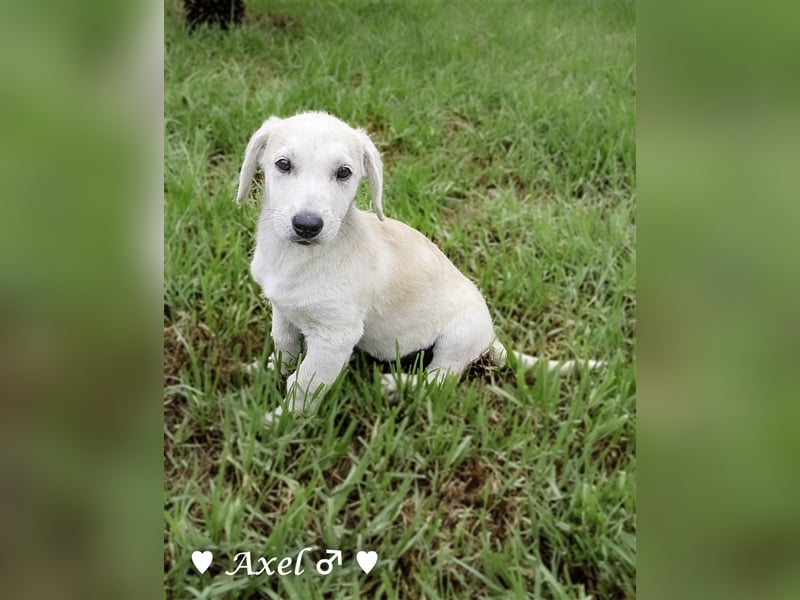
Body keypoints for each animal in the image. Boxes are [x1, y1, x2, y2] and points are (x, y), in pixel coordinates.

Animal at [234, 112, 596, 422]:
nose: (307, 226)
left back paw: (397, 386)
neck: (296, 257)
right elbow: (285, 344)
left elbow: (304, 384)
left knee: (439, 379)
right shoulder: (283, 309)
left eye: (344, 172)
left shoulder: (335, 337)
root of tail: (491, 338)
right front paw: (271, 368)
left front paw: (279, 425)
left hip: (458, 336)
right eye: (283, 164)